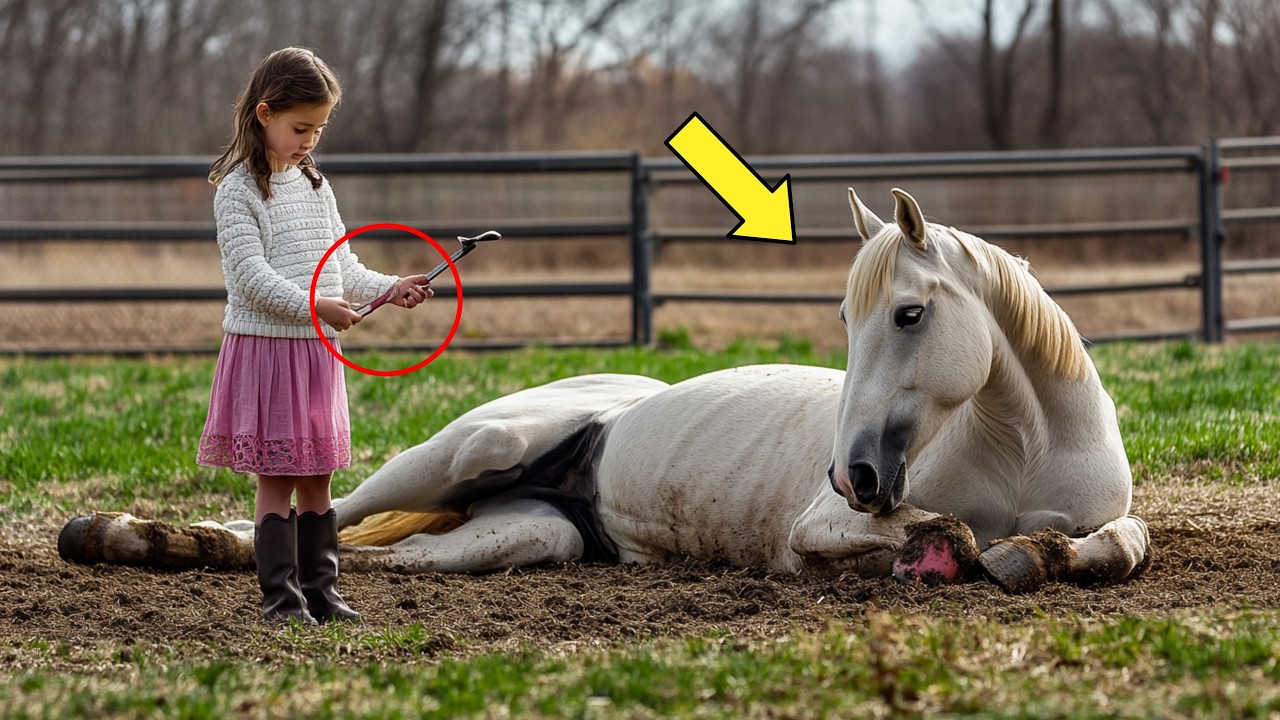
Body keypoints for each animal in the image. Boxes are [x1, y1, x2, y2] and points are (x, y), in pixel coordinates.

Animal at [58, 188, 1151, 593]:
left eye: (910, 315)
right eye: (849, 319)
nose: (856, 475)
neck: (1022, 448)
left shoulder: (1108, 518)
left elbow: (1116, 546)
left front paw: (1035, 554)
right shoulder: (821, 528)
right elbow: (944, 533)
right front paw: (971, 550)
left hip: (518, 535)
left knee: (382, 554)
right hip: (463, 453)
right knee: (301, 521)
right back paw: (122, 536)